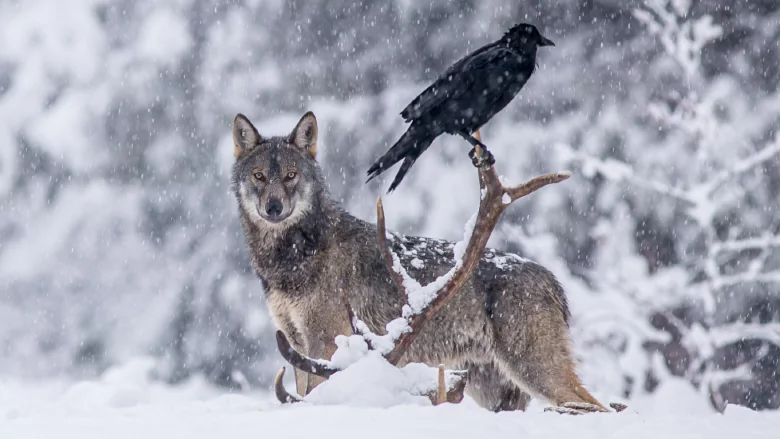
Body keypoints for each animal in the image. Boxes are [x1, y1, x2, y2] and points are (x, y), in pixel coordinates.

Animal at [231, 111, 604, 411]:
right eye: (259, 176)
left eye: (291, 175)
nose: (274, 207)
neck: (288, 263)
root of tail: (553, 282)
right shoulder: (294, 339)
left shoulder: (326, 340)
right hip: (489, 383)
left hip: (533, 368)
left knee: (596, 405)